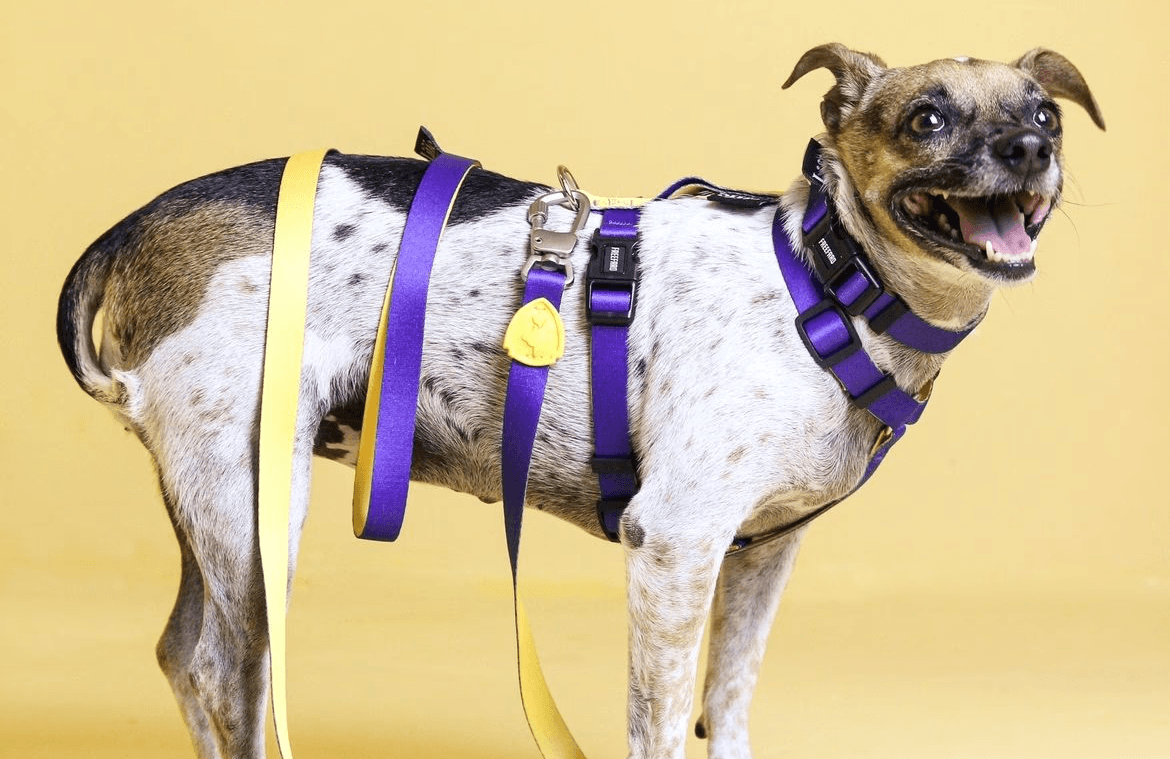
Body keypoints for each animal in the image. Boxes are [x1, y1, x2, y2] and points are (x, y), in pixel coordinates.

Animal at [57, 44, 1103, 759]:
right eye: (927, 118)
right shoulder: (675, 545)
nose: (1030, 148)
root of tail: (138, 222)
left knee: (182, 655)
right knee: (228, 671)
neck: (828, 285)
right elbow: (660, 725)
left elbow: (726, 706)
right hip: (255, 494)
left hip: (211, 498)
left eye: (1047, 114)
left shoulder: (760, 553)